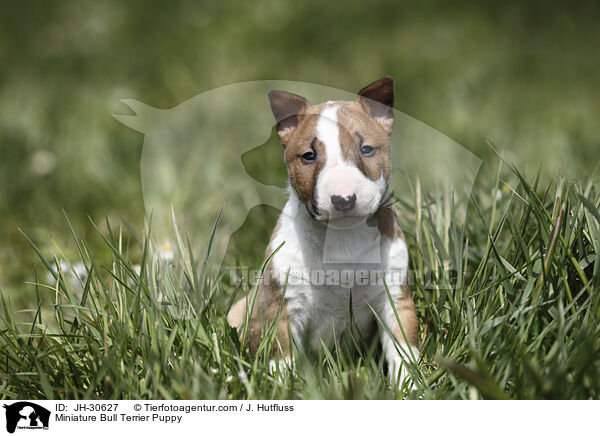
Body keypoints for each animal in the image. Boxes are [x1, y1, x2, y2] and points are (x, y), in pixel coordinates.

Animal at [227, 78, 420, 384]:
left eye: (366, 149)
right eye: (309, 156)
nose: (343, 199)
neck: (342, 239)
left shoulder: (395, 298)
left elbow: (404, 350)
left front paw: (411, 388)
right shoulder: (285, 306)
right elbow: (282, 358)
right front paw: (284, 388)